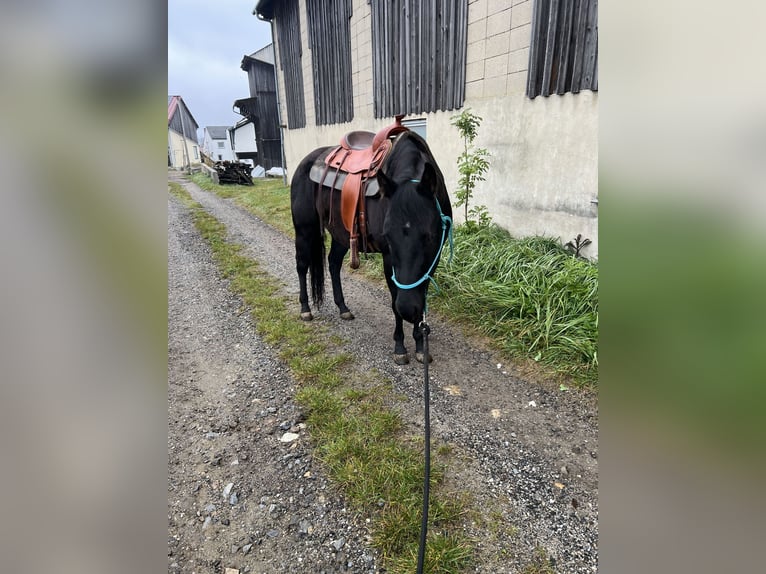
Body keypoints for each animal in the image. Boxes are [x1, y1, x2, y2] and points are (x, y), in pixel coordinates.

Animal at [292, 130, 452, 364]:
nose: (408, 309)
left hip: (341, 235)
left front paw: (421, 345)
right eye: (388, 236)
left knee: (333, 264)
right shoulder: (388, 259)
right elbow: (394, 300)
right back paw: (305, 309)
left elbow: (420, 294)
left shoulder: (433, 260)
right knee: (302, 266)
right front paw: (400, 347)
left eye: (429, 236)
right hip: (305, 230)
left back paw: (343, 308)